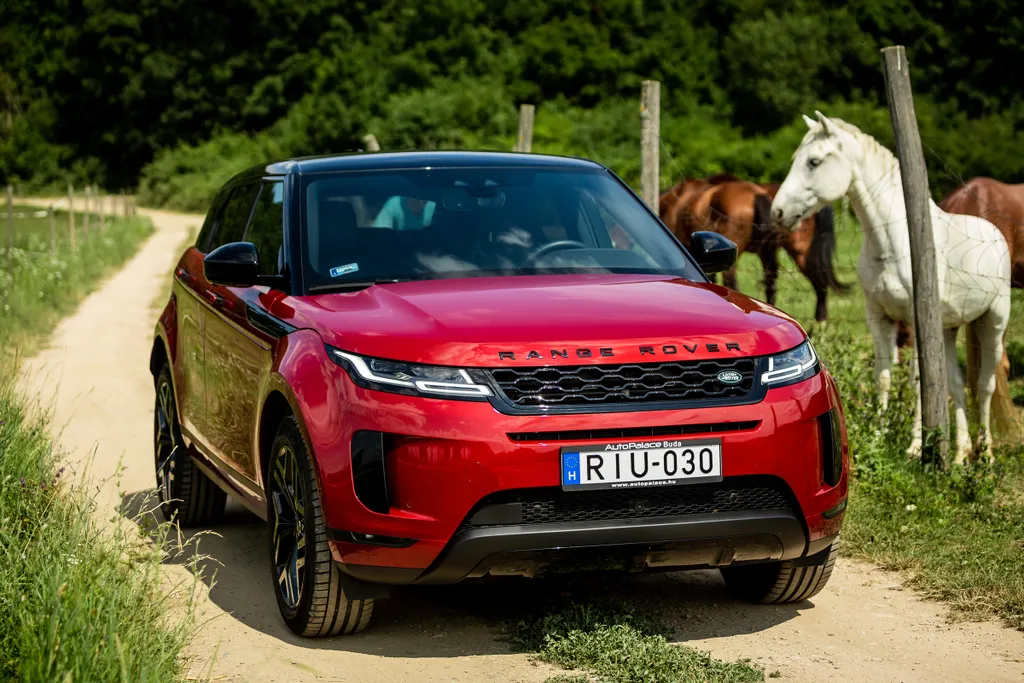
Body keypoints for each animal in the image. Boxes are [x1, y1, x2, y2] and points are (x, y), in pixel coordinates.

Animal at [770, 112, 1011, 464]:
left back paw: (987, 453)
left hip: (993, 322)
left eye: (813, 162)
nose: (778, 212)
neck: (890, 243)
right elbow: (884, 377)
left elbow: (917, 381)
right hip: (949, 329)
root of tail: (994, 232)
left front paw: (914, 447)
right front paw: (879, 436)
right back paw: (960, 454)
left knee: (985, 385)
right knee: (956, 384)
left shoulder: (914, 323)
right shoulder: (878, 317)